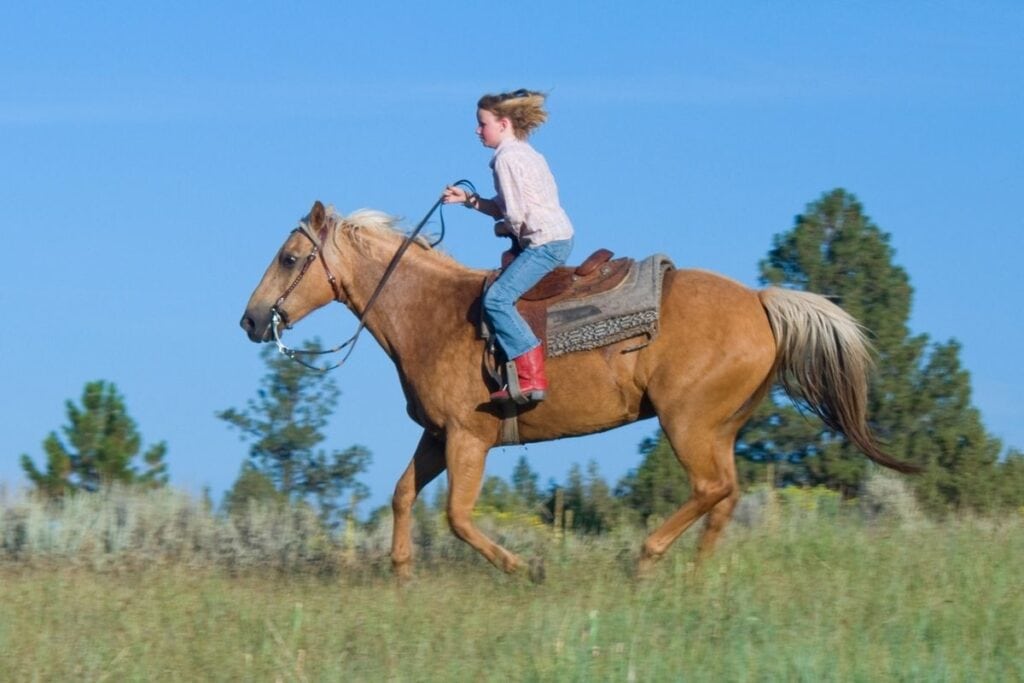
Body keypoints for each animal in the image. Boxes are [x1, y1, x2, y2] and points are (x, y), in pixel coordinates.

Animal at [239, 200, 921, 581]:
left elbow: (458, 517)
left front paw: (528, 568)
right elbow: (404, 497)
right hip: (721, 426)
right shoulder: (437, 436)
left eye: (291, 257)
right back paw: (696, 580)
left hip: (688, 422)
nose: (250, 320)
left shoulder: (468, 438)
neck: (431, 315)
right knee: (725, 498)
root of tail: (760, 300)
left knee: (712, 490)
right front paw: (401, 577)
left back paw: (646, 560)